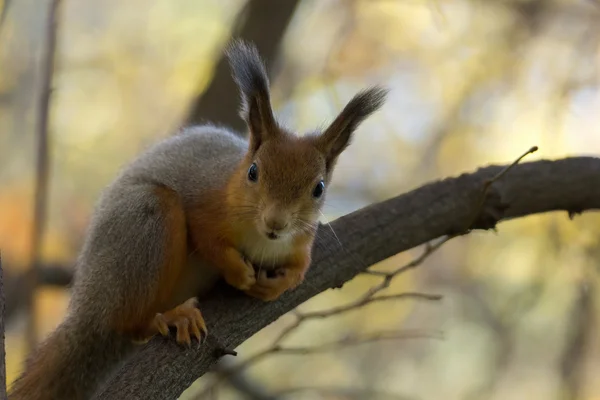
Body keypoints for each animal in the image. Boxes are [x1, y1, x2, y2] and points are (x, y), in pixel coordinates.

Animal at [8, 38, 390, 400]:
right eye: (253, 172)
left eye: (319, 188)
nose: (276, 223)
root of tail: (87, 308)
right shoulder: (204, 202)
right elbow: (207, 240)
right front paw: (238, 272)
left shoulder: (300, 242)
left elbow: (300, 268)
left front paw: (278, 284)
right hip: (141, 228)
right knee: (128, 324)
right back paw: (172, 316)